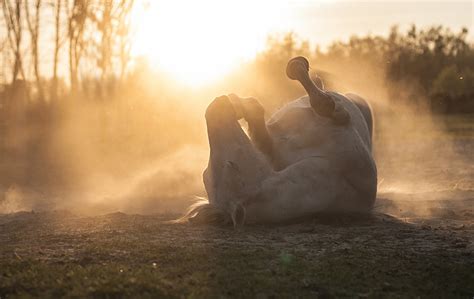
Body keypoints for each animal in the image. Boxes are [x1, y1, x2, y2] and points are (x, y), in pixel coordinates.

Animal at [181, 56, 378, 226]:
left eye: (204, 175)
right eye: (231, 164)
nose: (217, 104)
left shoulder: (271, 143)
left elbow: (261, 122)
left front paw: (240, 103)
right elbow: (324, 104)